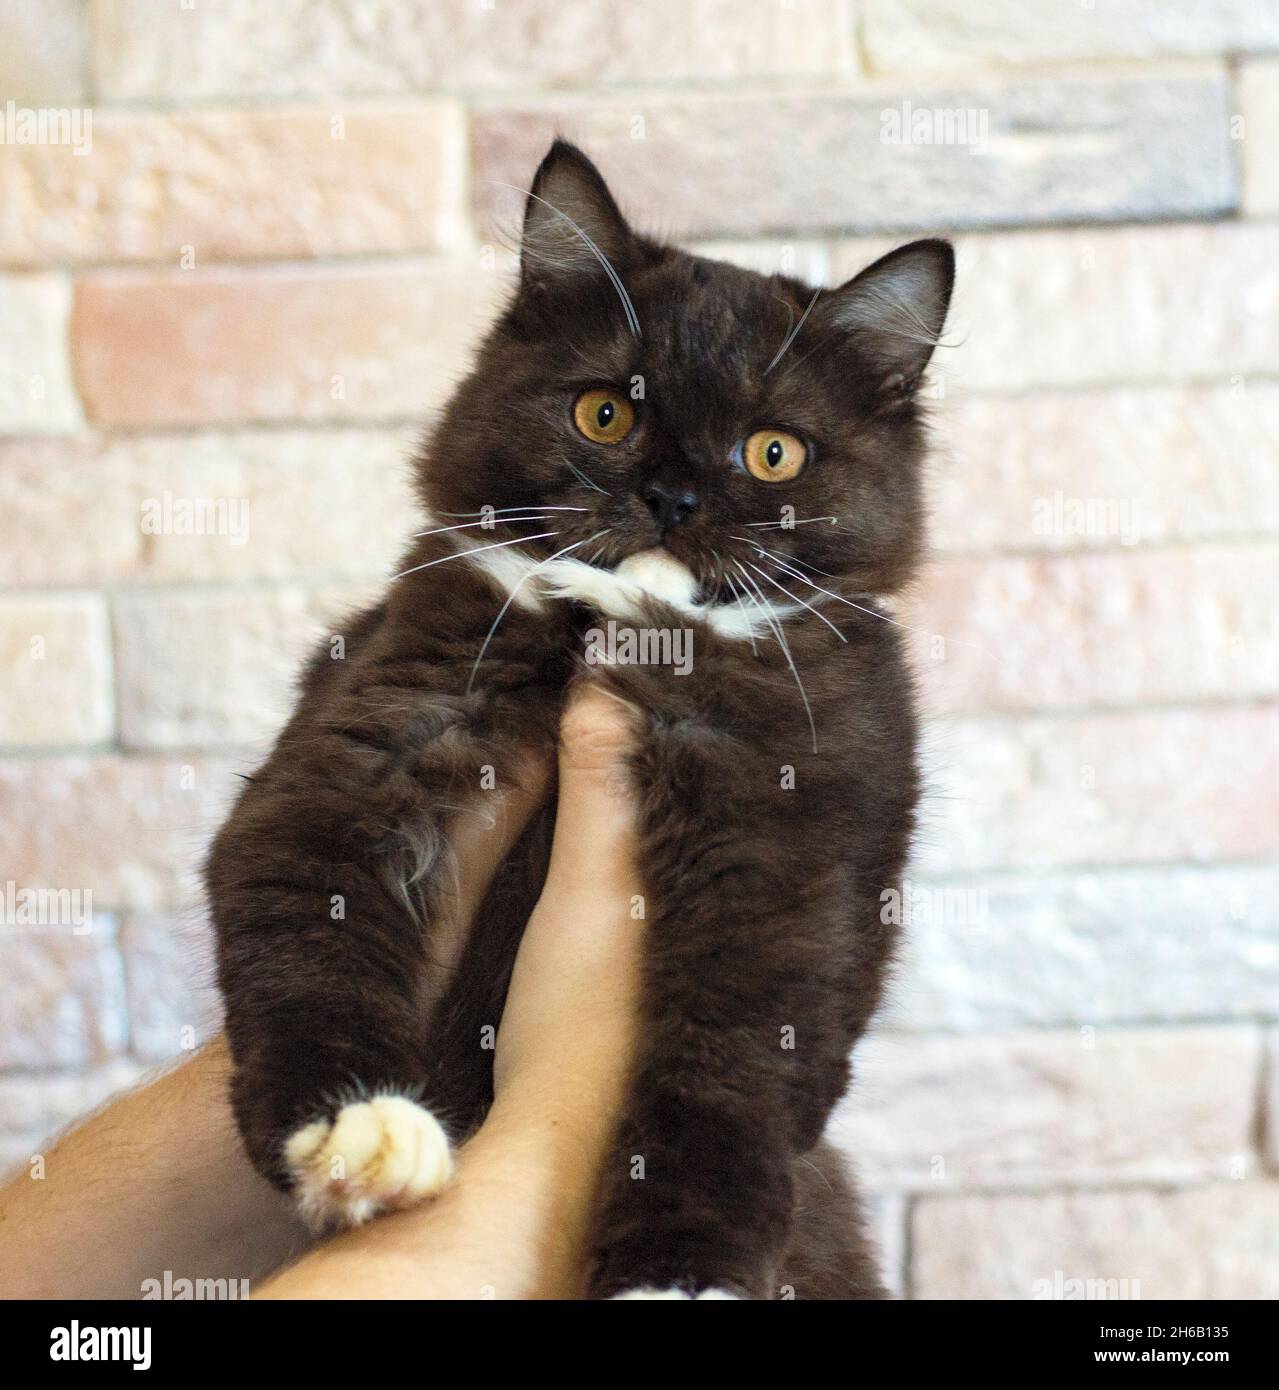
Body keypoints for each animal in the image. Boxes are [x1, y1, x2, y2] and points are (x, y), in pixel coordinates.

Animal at [209, 135, 950, 1295]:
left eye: (772, 453)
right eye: (607, 413)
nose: (672, 498)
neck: (632, 629)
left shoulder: (800, 844)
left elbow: (736, 1058)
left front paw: (679, 1269)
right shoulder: (364, 735)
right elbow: (297, 928)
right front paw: (352, 1130)